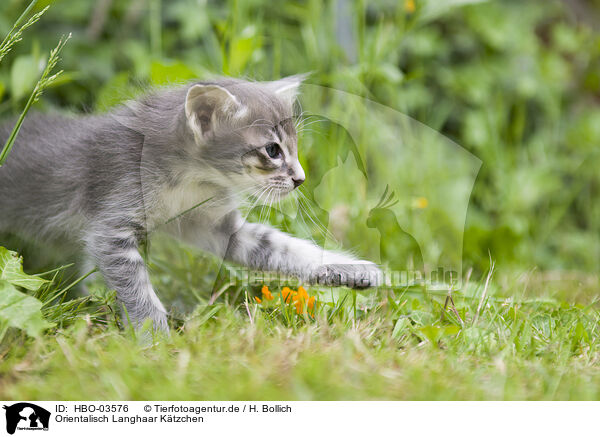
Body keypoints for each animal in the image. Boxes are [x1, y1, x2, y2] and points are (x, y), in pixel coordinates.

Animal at [0, 76, 382, 330]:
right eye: (273, 150)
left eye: (295, 147)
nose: (301, 178)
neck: (190, 181)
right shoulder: (112, 226)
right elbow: (138, 291)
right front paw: (155, 340)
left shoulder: (218, 226)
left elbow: (286, 248)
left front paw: (350, 268)